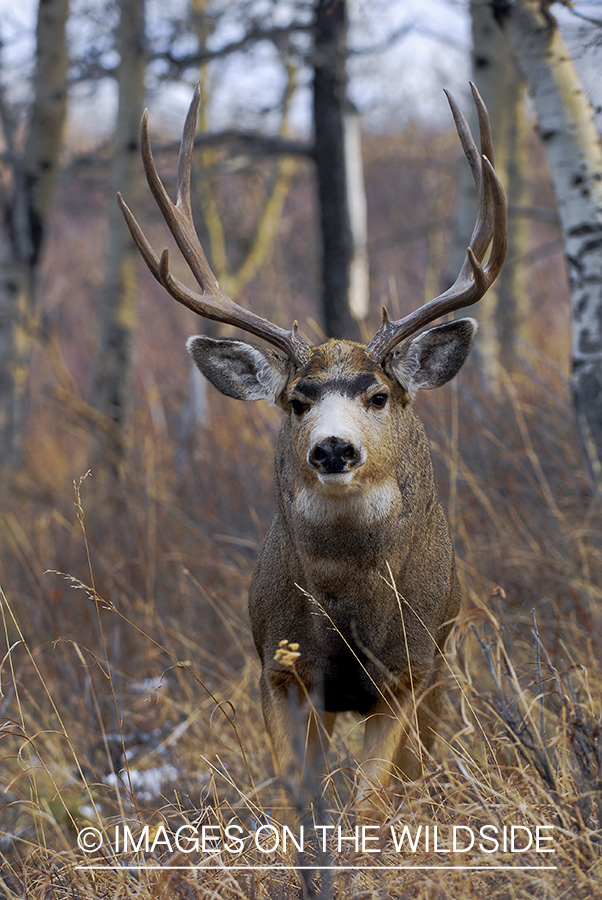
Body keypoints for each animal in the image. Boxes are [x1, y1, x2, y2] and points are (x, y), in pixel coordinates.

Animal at [118, 82, 507, 818]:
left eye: (378, 395)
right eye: (297, 399)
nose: (331, 449)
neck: (348, 602)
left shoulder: (408, 672)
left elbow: (368, 803)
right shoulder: (280, 666)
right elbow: (295, 797)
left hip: (444, 667)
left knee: (417, 770)